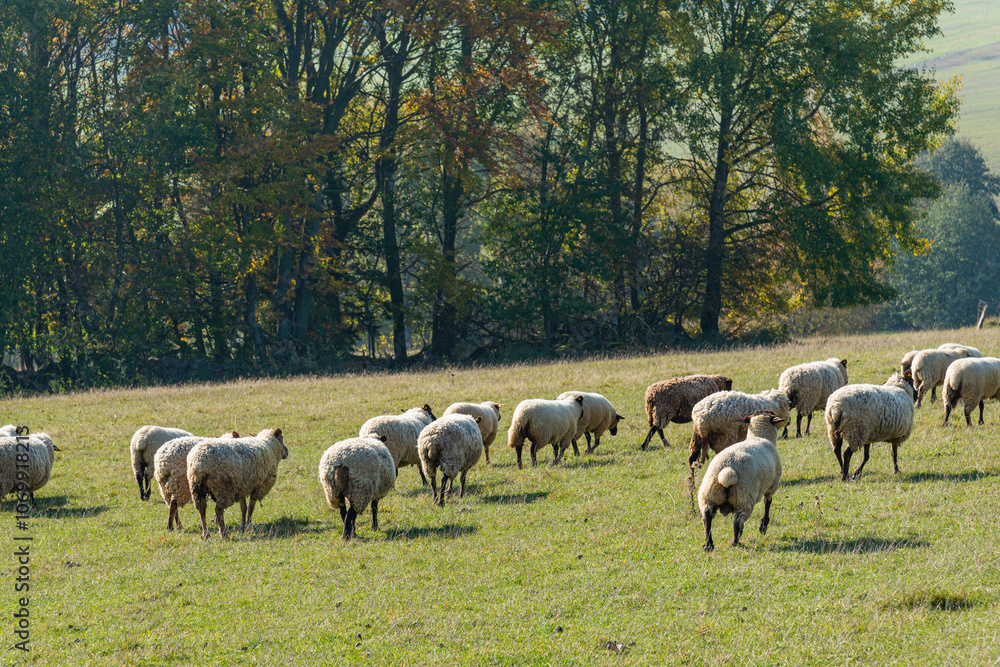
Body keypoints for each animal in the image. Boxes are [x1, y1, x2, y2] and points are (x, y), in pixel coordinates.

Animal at [698, 411, 785, 552]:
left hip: (708, 496)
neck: (759, 436)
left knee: (707, 519)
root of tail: (728, 470)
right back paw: (735, 542)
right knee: (737, 522)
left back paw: (708, 545)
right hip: (743, 499)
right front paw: (763, 526)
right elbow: (767, 504)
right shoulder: (772, 485)